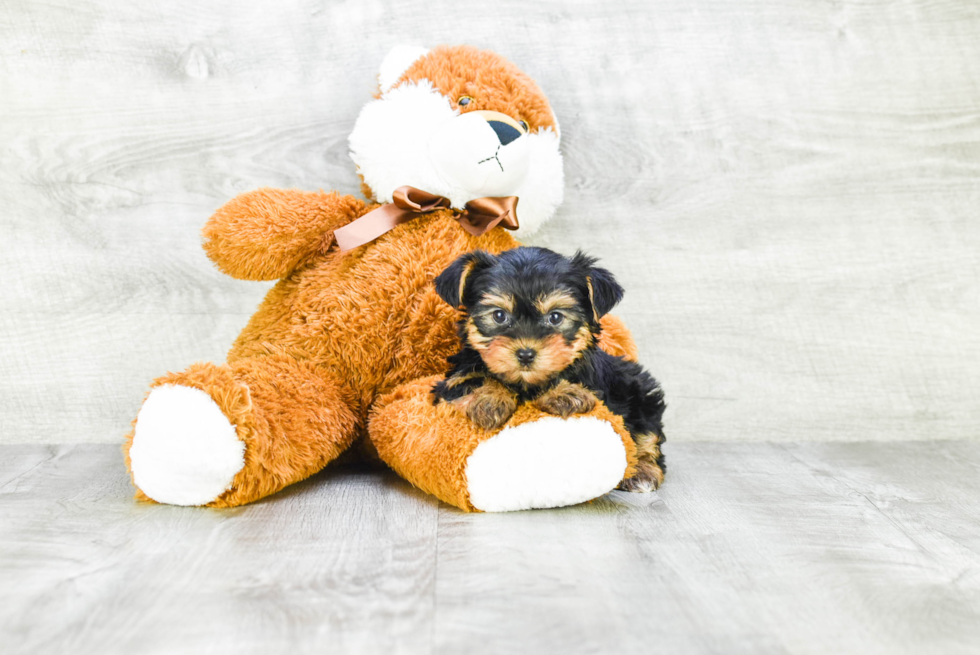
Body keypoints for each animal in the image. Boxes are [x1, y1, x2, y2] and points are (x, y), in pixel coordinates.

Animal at [434, 247, 668, 492]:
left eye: (555, 317)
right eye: (499, 315)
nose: (525, 354)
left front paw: (564, 393)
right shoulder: (452, 379)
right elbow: (473, 379)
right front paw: (489, 399)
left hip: (640, 393)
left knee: (647, 434)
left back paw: (642, 471)